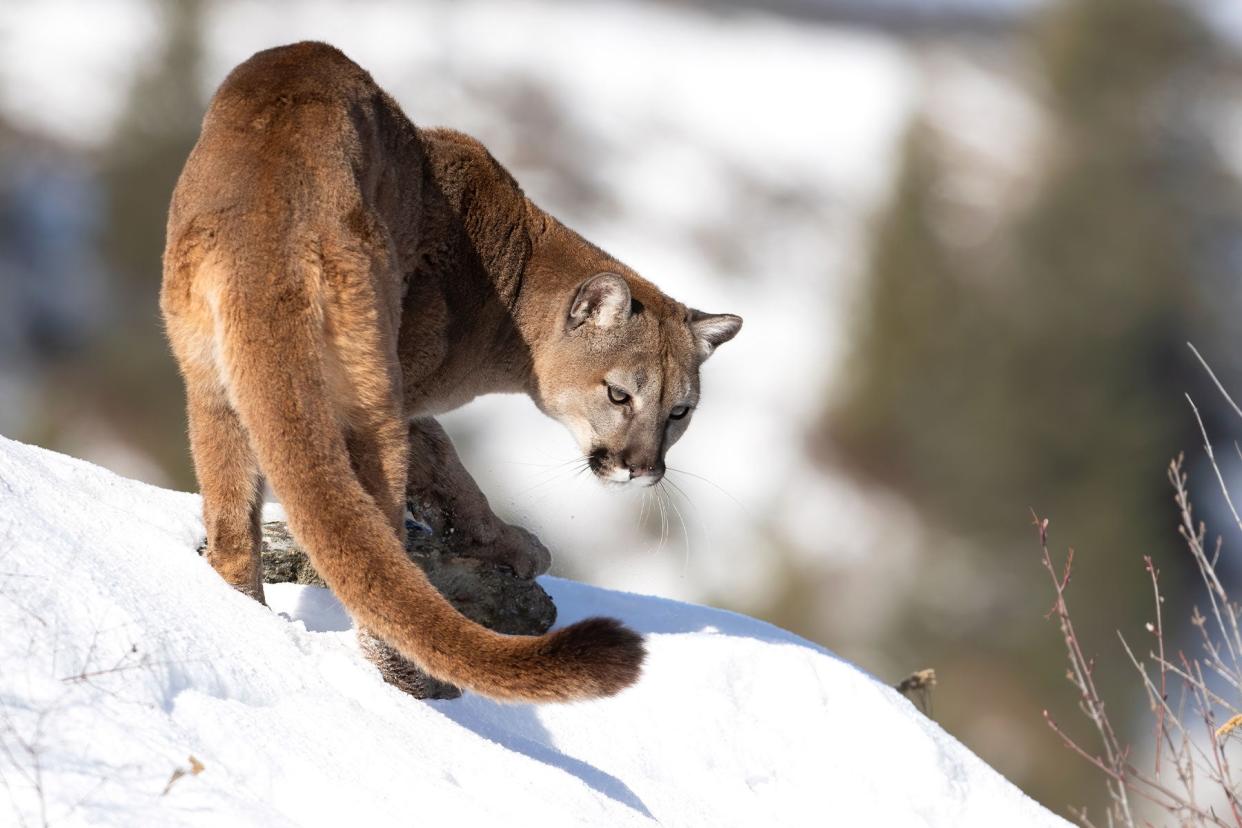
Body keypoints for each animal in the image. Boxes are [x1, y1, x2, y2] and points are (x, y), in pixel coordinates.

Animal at [160, 42, 740, 705]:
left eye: (680, 412)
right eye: (620, 395)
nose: (641, 469)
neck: (515, 280)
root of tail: (267, 227)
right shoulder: (408, 394)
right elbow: (449, 467)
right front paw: (511, 543)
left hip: (210, 383)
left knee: (234, 525)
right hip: (368, 389)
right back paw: (410, 681)